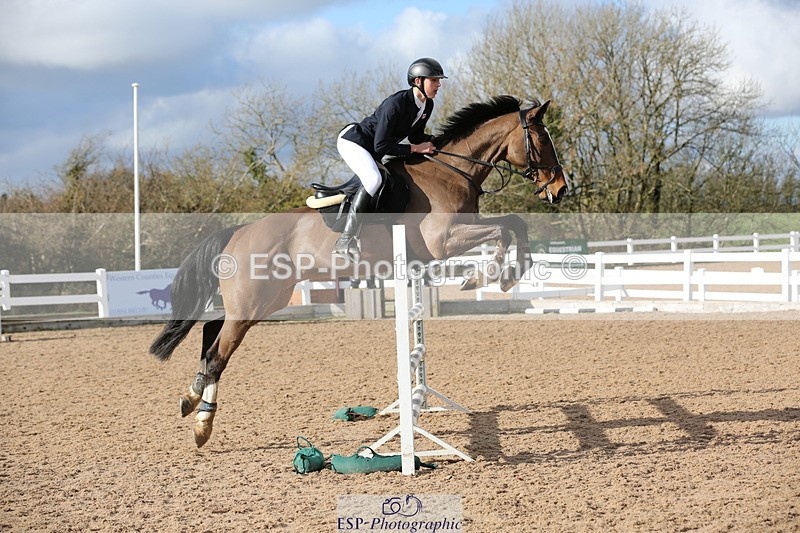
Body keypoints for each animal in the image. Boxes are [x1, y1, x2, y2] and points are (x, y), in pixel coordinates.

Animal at [149, 96, 569, 447]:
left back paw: (190, 398)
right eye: (541, 139)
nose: (560, 190)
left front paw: (506, 273)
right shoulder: (444, 240)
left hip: (266, 300)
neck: (453, 171)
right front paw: (487, 275)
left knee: (210, 330)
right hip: (254, 300)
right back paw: (202, 424)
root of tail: (239, 231)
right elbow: (505, 228)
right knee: (218, 353)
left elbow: (513, 225)